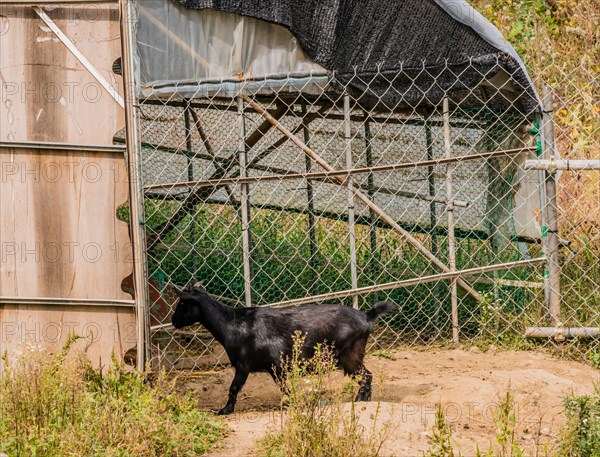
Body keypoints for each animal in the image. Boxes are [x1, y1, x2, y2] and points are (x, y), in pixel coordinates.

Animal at [171, 282, 394, 414]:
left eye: (182, 303)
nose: (173, 321)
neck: (231, 323)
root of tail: (367, 316)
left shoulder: (248, 365)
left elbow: (234, 387)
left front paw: (225, 410)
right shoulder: (274, 368)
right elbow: (285, 388)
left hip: (350, 355)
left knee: (366, 375)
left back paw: (361, 399)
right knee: (366, 375)